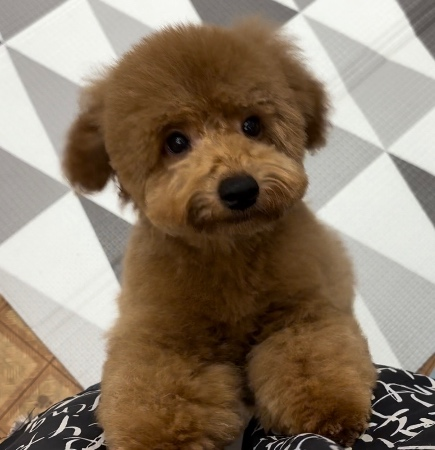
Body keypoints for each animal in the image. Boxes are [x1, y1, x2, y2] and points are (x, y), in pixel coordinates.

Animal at [62, 19, 376, 450]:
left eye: (252, 125)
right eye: (176, 141)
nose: (240, 189)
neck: (229, 251)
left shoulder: (299, 310)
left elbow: (309, 355)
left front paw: (330, 410)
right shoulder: (163, 336)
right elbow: (156, 387)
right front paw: (161, 439)